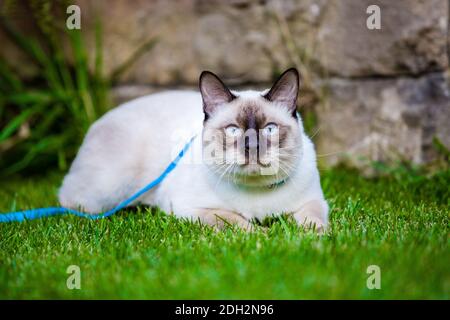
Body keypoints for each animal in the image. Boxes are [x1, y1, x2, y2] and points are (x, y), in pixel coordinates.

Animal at [58, 68, 328, 232]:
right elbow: (238, 222)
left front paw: (312, 241)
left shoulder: (313, 202)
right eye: (233, 131)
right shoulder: (192, 209)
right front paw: (265, 235)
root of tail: (98, 121)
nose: (252, 146)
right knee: (69, 200)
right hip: (108, 190)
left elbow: (313, 223)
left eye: (270, 129)